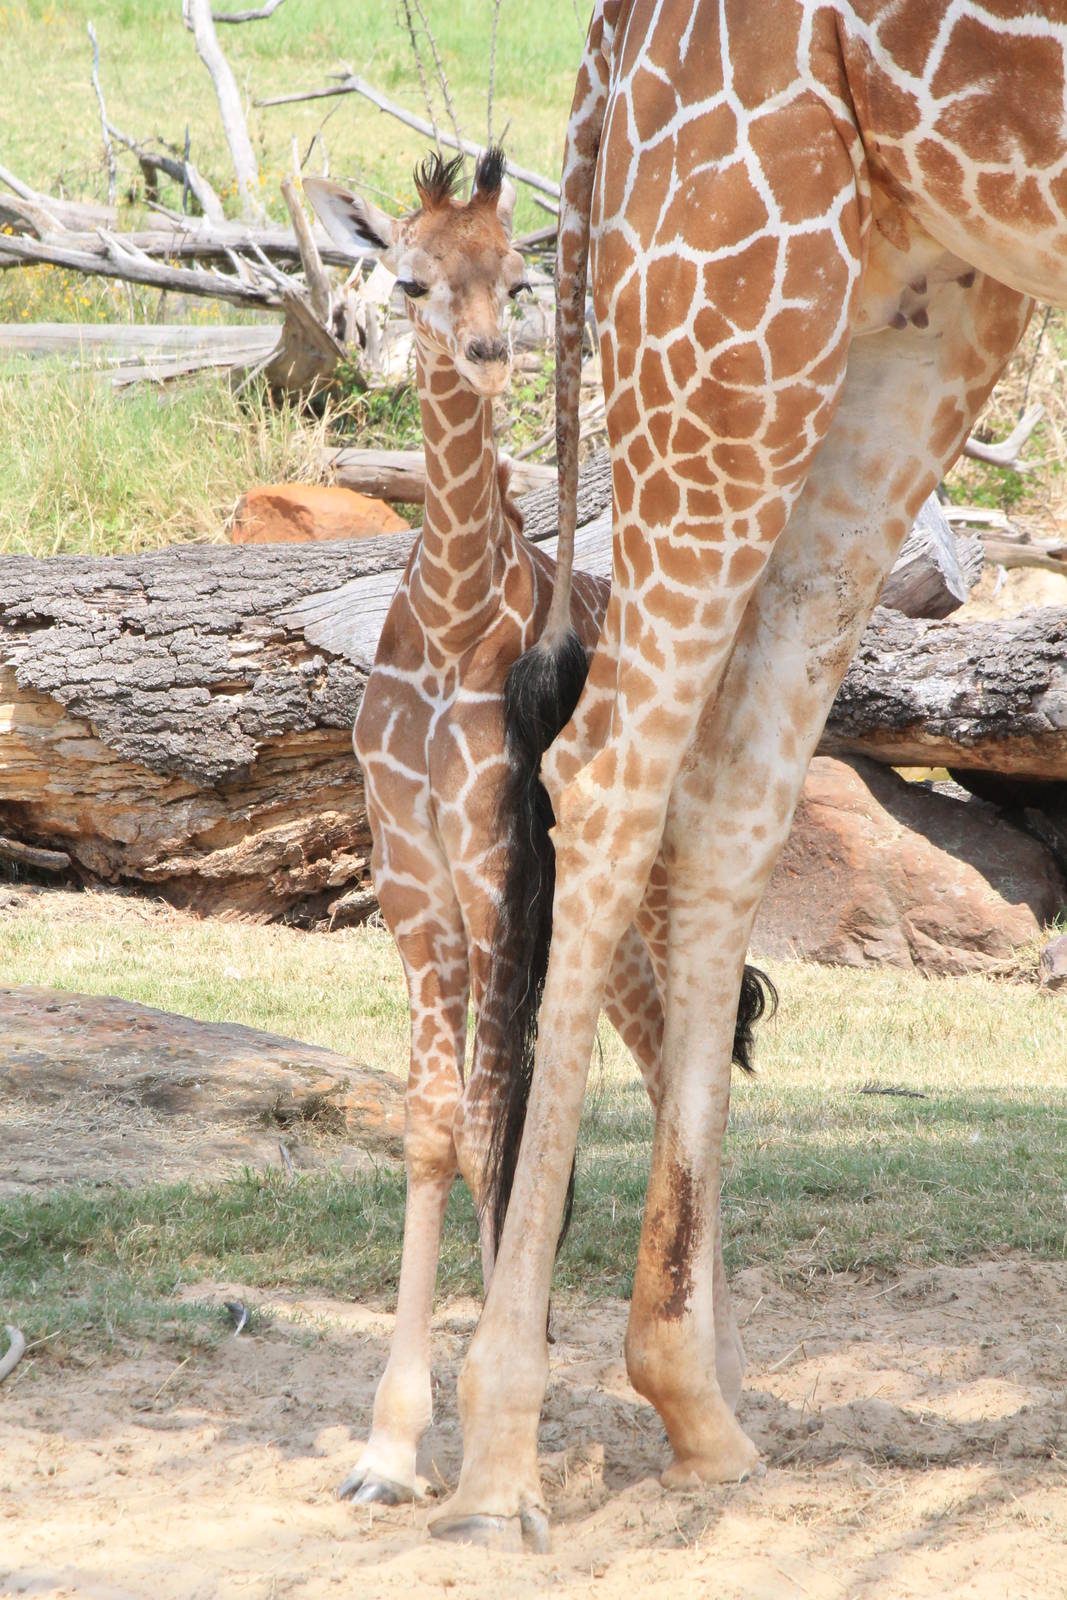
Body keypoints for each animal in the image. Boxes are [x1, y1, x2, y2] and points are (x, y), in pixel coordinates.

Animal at [302, 149, 765, 1509]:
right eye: (408, 277)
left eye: (514, 275)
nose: (485, 350)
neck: (454, 613)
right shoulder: (411, 884)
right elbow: (435, 1127)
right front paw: (389, 1448)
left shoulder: (494, 872)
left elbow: (496, 1118)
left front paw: (500, 1427)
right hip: (598, 921)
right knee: (664, 1058)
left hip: (642, 883)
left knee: (680, 1065)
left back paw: (715, 1386)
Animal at [430, 0, 1064, 1553]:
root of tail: (608, 36)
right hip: (734, 291)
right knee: (612, 766)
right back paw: (501, 1455)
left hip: (921, 296)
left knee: (729, 783)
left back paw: (697, 1406)